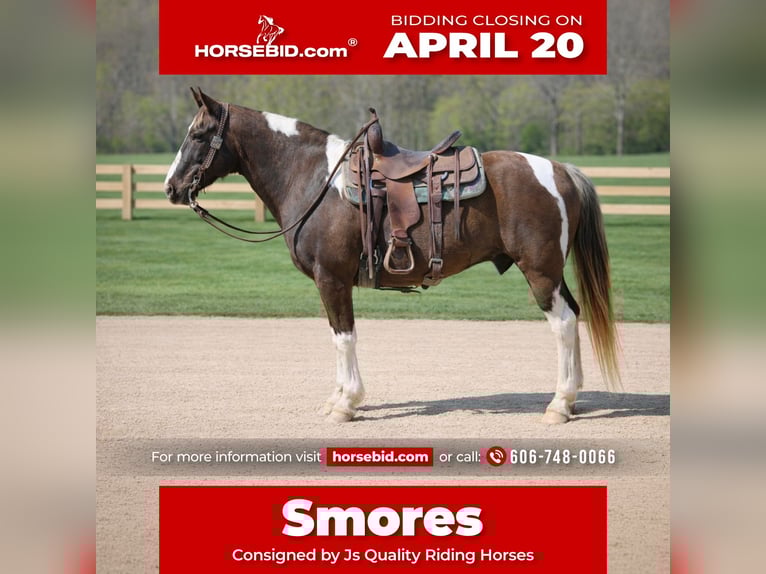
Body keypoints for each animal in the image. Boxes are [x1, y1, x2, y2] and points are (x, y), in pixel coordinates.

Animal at [164, 88, 621, 424]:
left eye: (198, 135)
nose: (171, 187)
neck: (313, 178)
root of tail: (560, 170)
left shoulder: (331, 278)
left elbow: (343, 337)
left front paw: (346, 403)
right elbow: (336, 336)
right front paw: (337, 398)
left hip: (540, 271)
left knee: (563, 324)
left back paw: (558, 404)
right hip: (552, 273)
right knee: (574, 314)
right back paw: (573, 398)